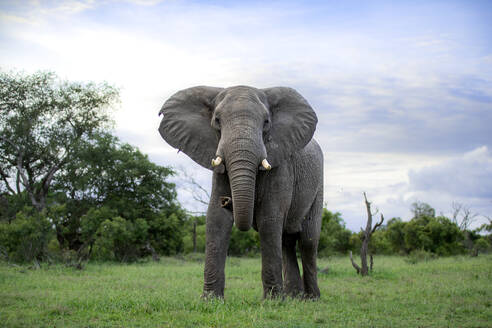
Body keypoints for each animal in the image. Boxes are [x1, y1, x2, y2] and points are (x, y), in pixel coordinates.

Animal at [158, 85, 322, 300]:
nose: (227, 200)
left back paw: (311, 299)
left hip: (318, 187)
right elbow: (216, 219)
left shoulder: (281, 166)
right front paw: (210, 300)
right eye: (217, 121)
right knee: (286, 242)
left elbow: (269, 219)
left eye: (266, 122)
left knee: (308, 241)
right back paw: (294, 297)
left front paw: (273, 301)